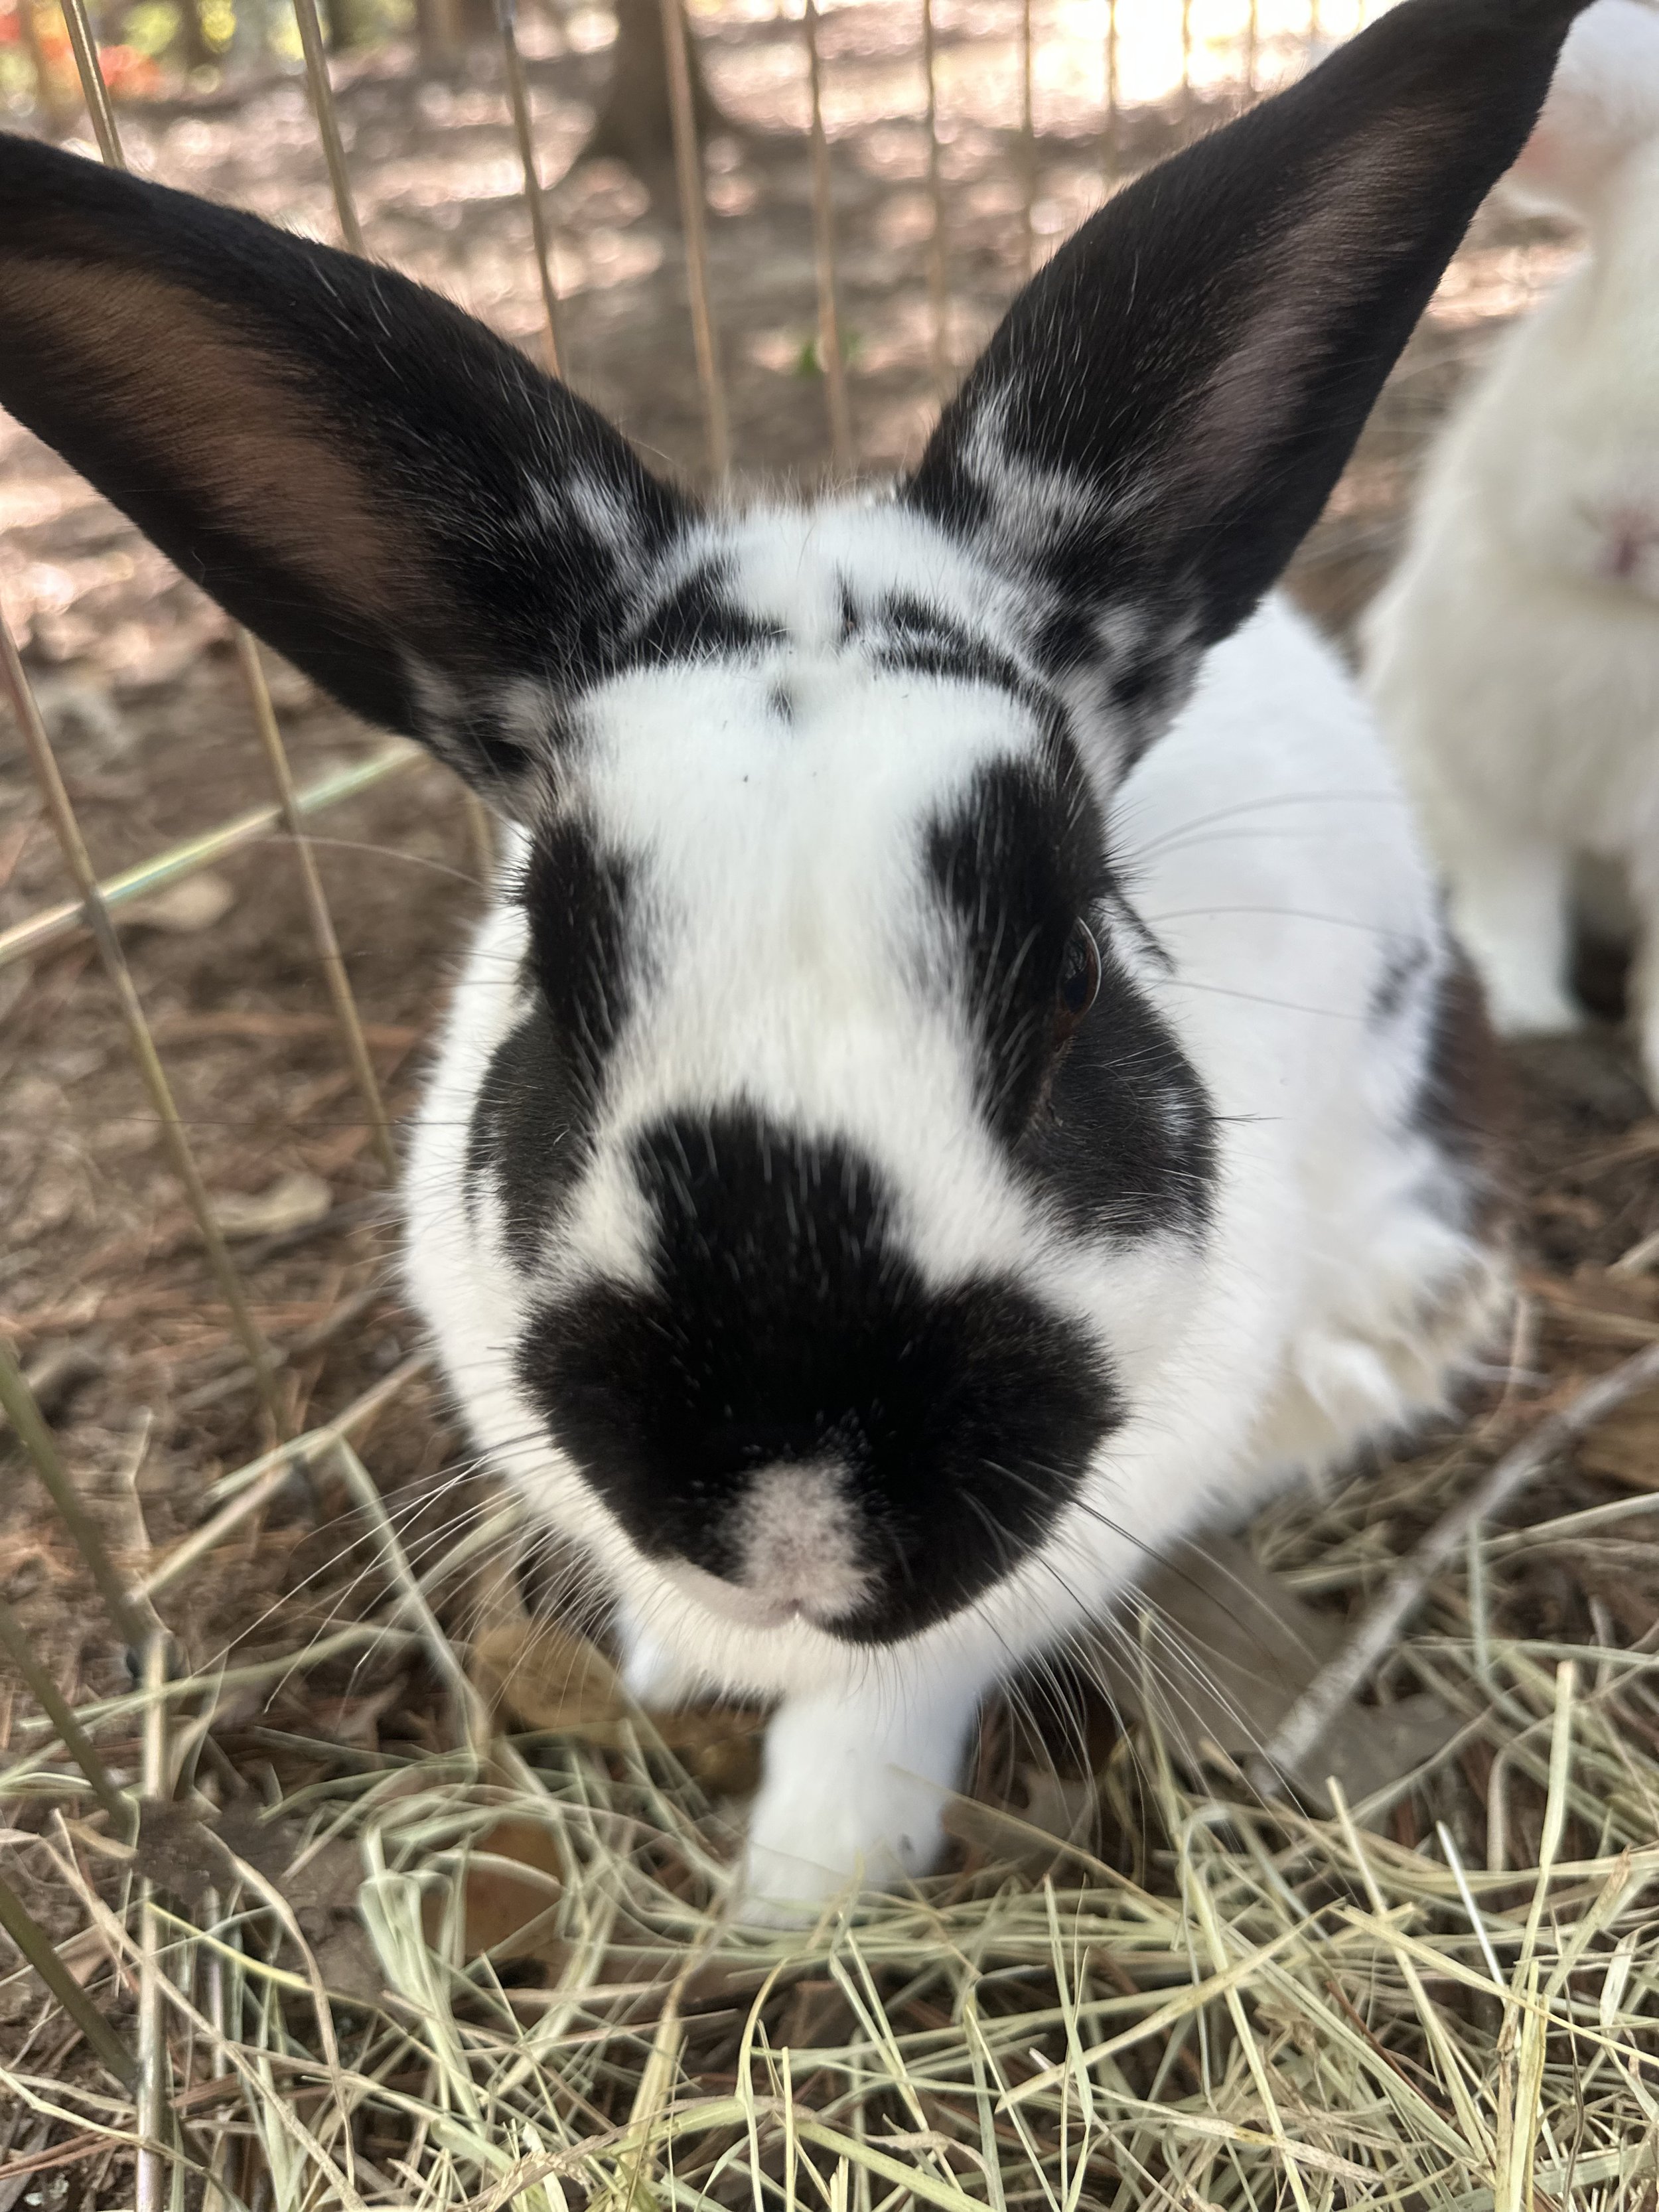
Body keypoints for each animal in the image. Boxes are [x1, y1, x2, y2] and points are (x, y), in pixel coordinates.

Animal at [1363, 0, 1659, 1097]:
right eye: (1606, 273)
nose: (1624, 520)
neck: (1623, 622)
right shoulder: (1477, 771)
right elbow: (1512, 900)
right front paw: (1529, 1019)